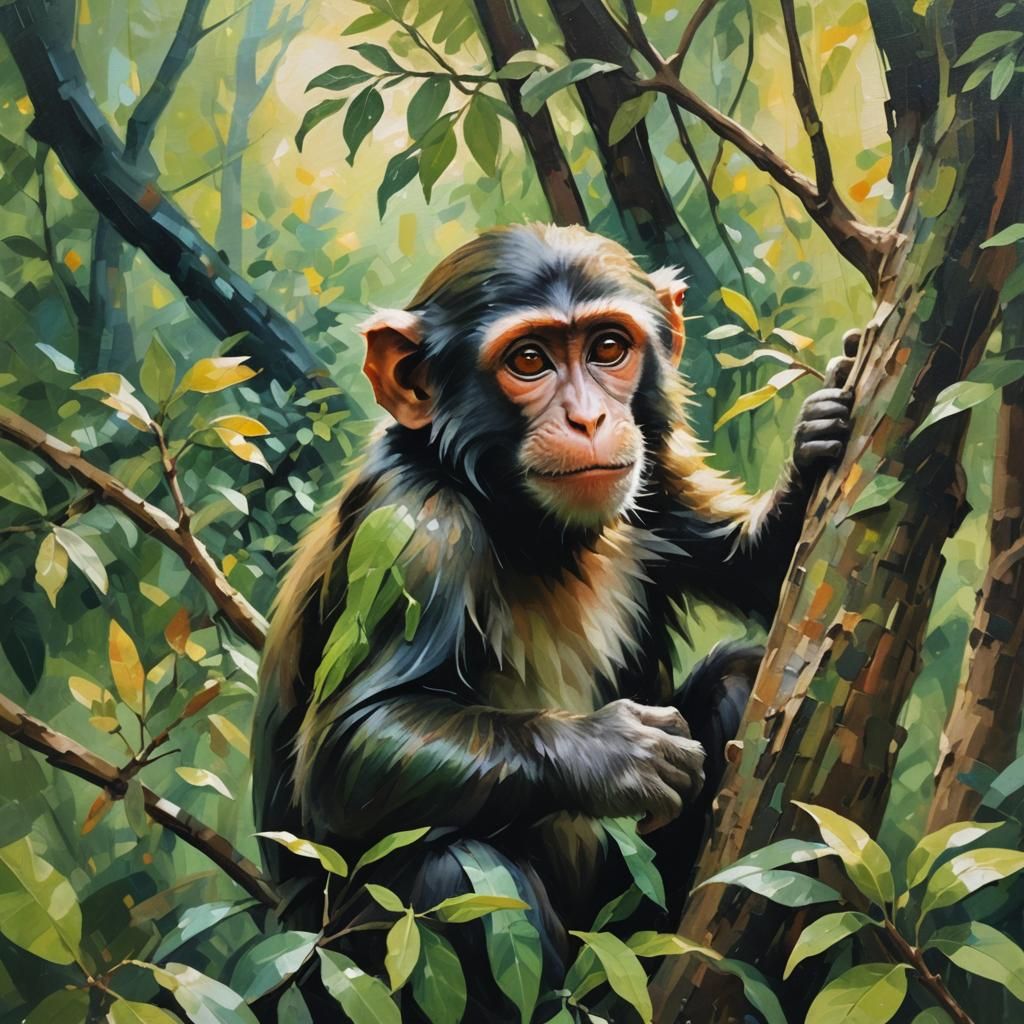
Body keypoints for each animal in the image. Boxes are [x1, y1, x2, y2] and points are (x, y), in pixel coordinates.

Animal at [252, 224, 854, 1020]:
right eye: (530, 361)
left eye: (608, 348)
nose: (589, 418)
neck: (525, 523)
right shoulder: (414, 529)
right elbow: (350, 745)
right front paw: (612, 753)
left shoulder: (655, 470)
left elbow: (753, 568)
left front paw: (819, 434)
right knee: (455, 871)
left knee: (737, 679)